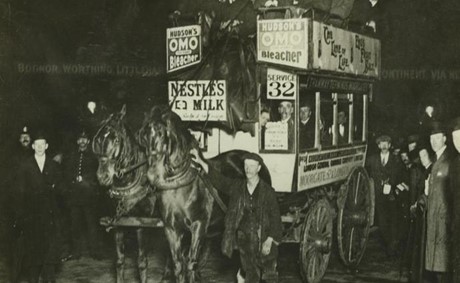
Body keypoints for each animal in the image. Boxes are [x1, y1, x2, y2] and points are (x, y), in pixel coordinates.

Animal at [92, 106, 155, 283]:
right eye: (97, 140)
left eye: (116, 140)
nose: (103, 177)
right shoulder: (118, 223)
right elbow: (120, 261)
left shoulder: (142, 224)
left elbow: (141, 261)